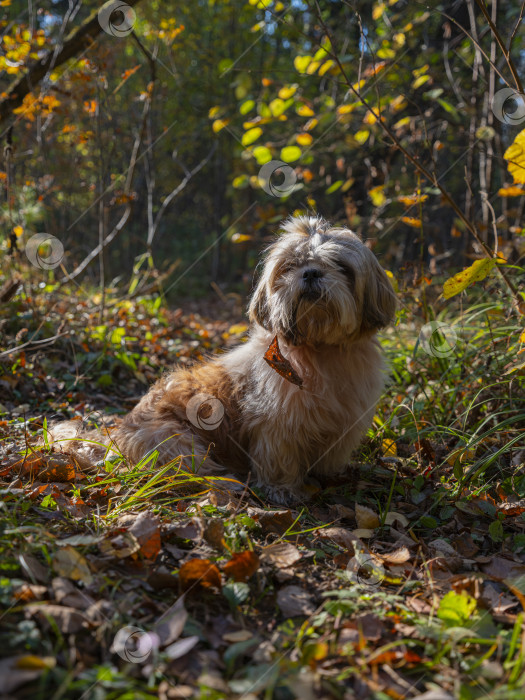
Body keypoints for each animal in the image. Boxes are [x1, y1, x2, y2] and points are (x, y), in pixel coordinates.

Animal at [54, 215, 398, 504]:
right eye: (290, 265)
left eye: (340, 265)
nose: (311, 272)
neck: (320, 348)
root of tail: (118, 432)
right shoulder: (277, 425)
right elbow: (280, 459)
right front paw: (283, 490)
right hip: (175, 442)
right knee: (190, 474)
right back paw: (227, 484)